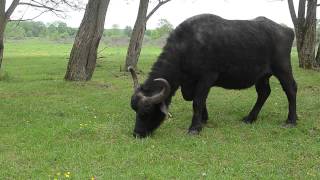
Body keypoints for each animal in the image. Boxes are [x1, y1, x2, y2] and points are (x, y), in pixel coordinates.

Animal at [128, 14, 298, 138]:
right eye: (134, 110)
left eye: (145, 113)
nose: (137, 133)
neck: (187, 46)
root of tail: (287, 30)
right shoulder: (189, 83)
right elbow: (198, 100)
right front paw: (204, 119)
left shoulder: (207, 77)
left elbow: (197, 101)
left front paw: (194, 128)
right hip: (262, 76)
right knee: (264, 93)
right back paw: (250, 118)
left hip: (282, 69)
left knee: (290, 89)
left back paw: (291, 120)